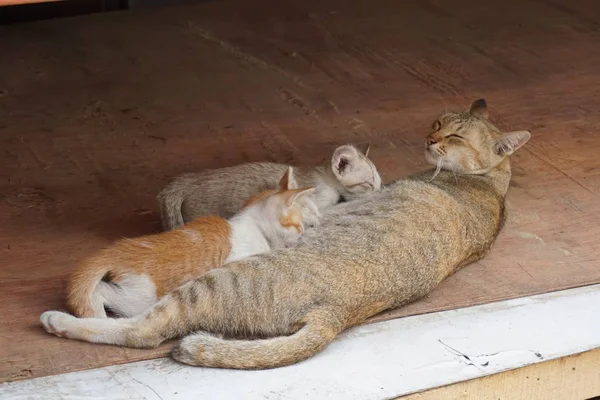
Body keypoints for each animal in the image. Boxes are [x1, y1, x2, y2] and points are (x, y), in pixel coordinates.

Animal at [67, 167, 316, 320]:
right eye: (300, 225)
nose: (305, 233)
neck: (253, 224)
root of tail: (118, 250)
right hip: (139, 297)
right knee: (100, 292)